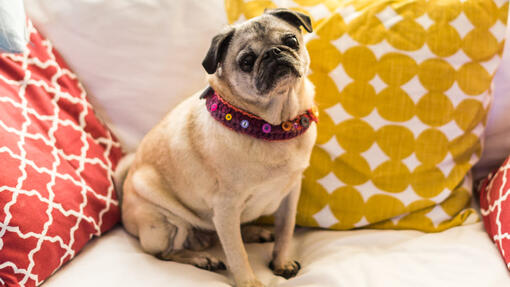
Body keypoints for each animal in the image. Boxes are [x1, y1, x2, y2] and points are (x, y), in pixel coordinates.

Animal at [113, 9, 316, 287]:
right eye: (246, 61)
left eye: (291, 40)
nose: (274, 52)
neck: (271, 127)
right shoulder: (226, 208)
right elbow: (237, 253)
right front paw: (249, 282)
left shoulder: (290, 194)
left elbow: (286, 230)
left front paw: (281, 262)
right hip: (166, 223)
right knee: (165, 253)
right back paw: (202, 258)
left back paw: (250, 232)